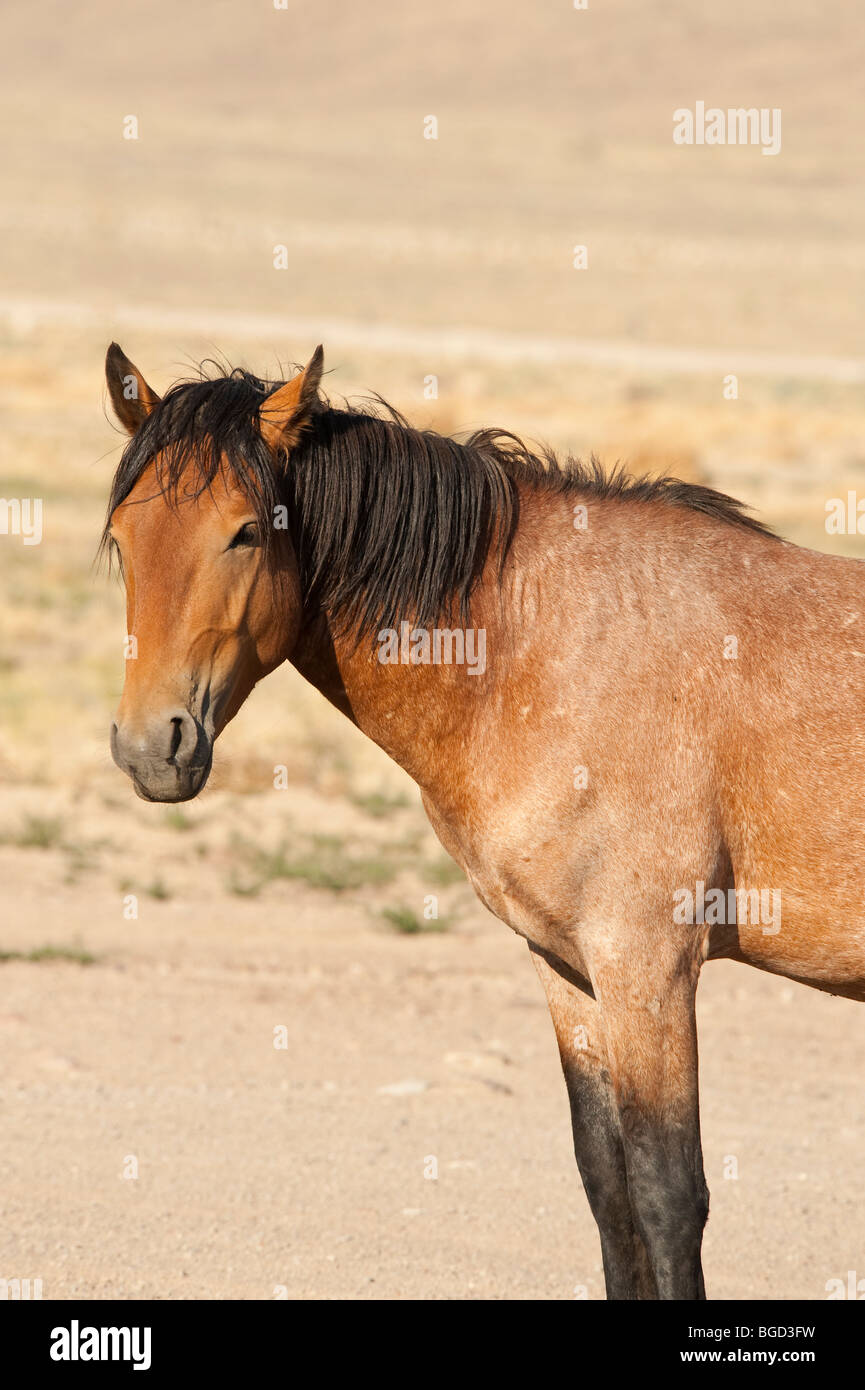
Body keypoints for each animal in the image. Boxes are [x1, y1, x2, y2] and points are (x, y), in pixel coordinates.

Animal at [103, 341, 865, 1295]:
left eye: (244, 531)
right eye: (122, 539)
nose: (150, 746)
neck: (535, 651)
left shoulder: (649, 970)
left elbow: (666, 1197)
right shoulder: (568, 967)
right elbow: (609, 1190)